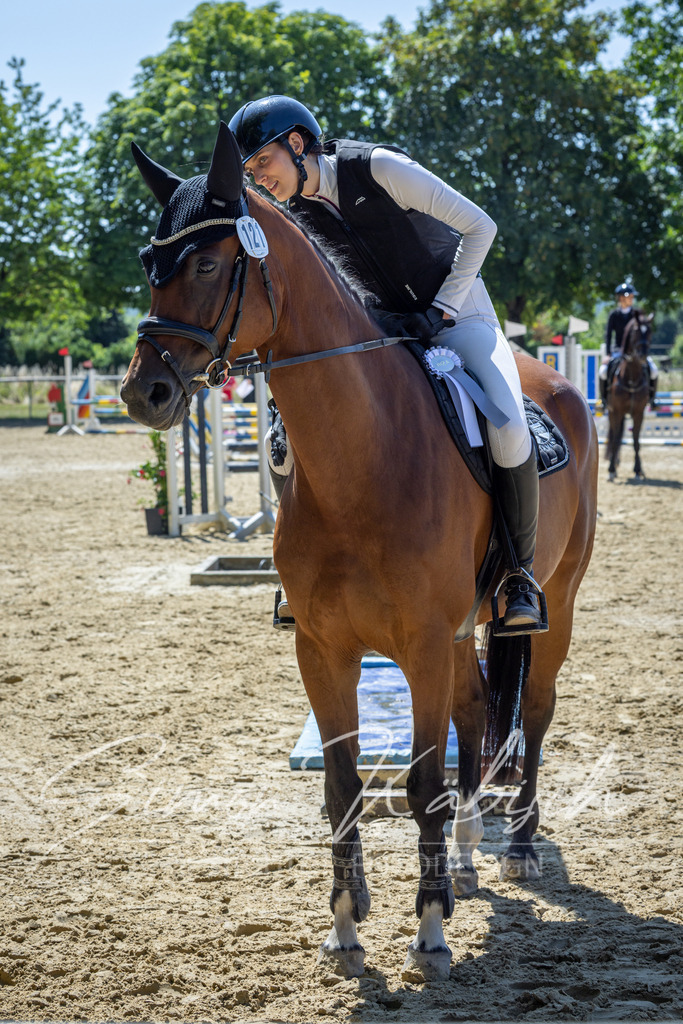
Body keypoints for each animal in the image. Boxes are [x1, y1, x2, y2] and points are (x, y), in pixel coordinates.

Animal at [121, 123, 599, 982]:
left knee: (535, 709)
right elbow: (344, 785)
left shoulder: (418, 645)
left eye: (207, 264)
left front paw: (429, 929)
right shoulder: (324, 647)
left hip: (555, 601)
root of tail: (554, 381)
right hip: (458, 633)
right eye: (151, 263)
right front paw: (345, 924)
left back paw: (515, 845)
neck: (364, 458)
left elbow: (417, 781)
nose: (144, 393)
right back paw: (469, 855)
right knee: (475, 710)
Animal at [605, 311, 654, 482]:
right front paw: (611, 470)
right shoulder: (616, 412)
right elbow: (614, 440)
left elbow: (636, 441)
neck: (631, 377)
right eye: (635, 331)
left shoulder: (638, 413)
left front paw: (638, 470)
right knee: (615, 437)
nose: (643, 355)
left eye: (650, 331)